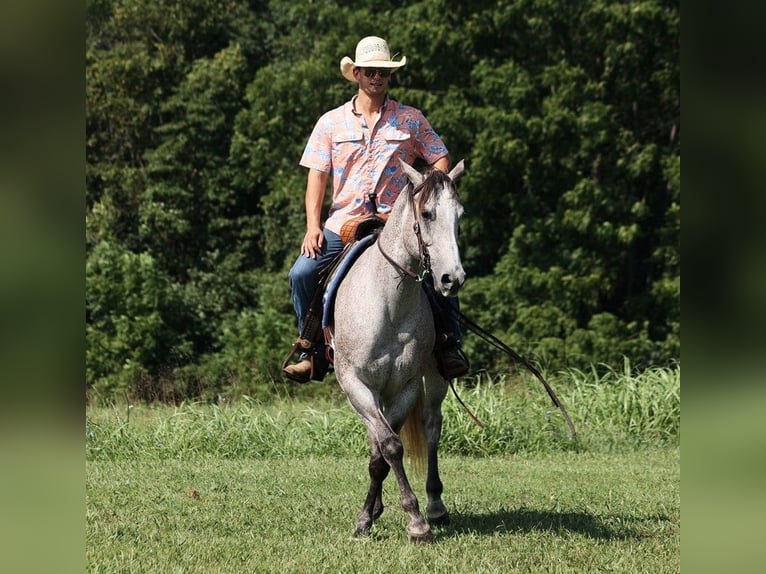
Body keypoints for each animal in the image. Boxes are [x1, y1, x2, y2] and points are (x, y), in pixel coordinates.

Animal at [328, 159, 464, 544]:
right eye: (428, 213)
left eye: (459, 216)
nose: (452, 279)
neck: (388, 302)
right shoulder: (357, 386)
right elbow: (385, 448)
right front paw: (369, 517)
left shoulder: (405, 386)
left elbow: (388, 450)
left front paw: (416, 520)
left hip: (435, 377)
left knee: (432, 426)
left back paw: (435, 505)